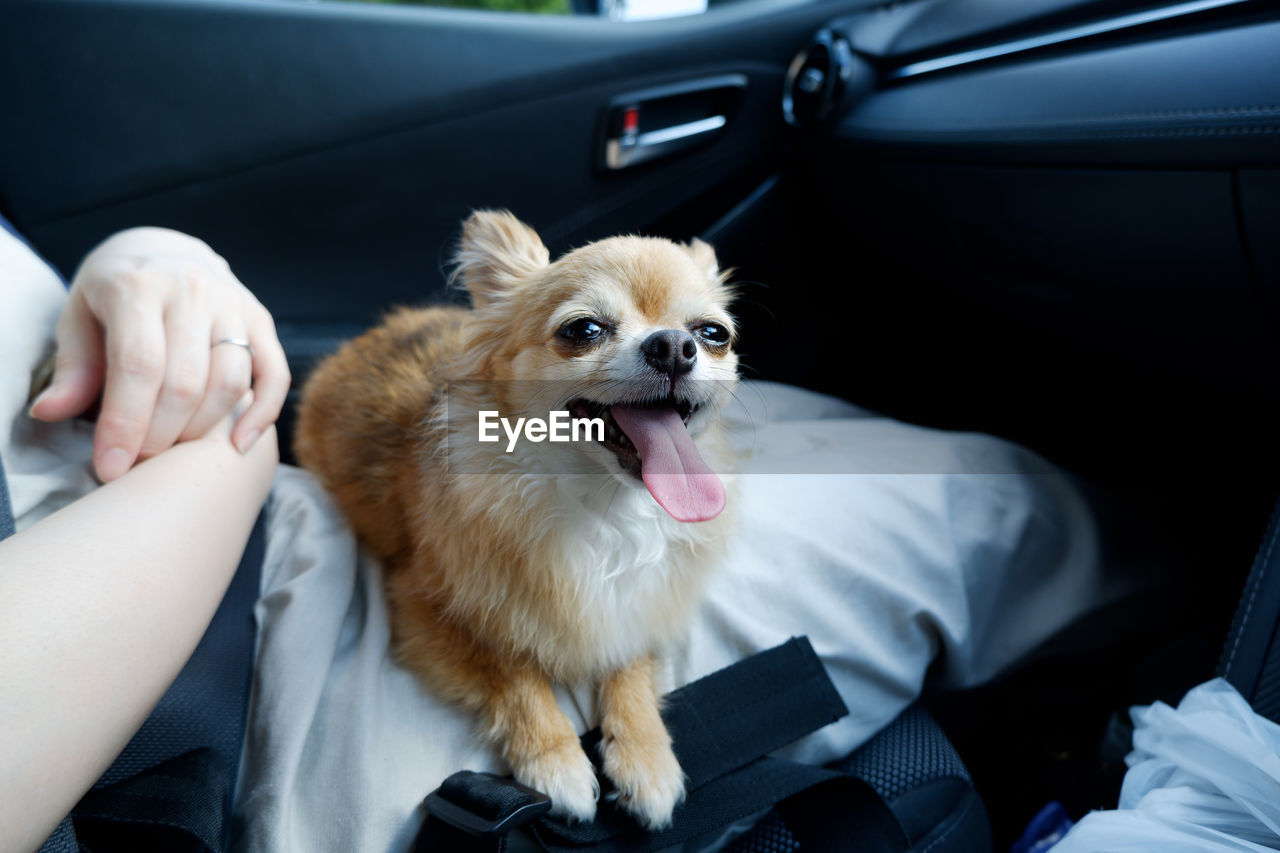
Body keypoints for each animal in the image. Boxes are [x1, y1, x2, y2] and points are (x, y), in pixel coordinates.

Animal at [296, 208, 742, 824]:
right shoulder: (428, 610)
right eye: (583, 330)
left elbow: (629, 663)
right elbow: (514, 674)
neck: (602, 506)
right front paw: (556, 762)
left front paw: (646, 755)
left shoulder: (639, 604)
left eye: (714, 334)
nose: (675, 345)